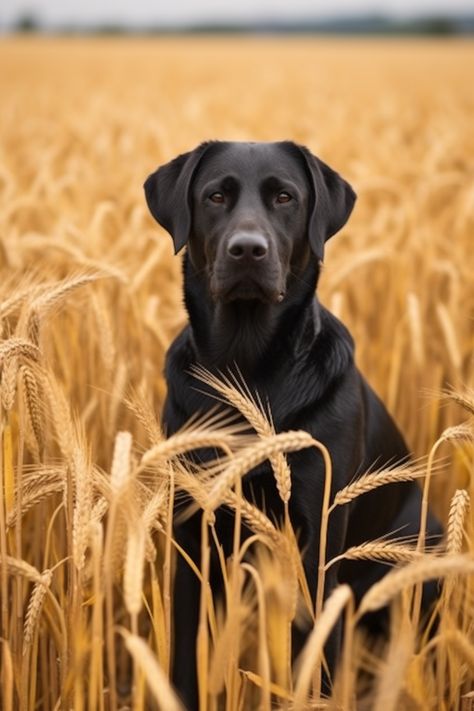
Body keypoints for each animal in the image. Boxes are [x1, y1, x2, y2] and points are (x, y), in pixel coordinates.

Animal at [143, 140, 440, 708]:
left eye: (285, 197)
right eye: (215, 196)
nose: (247, 250)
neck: (250, 369)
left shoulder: (317, 537)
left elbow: (315, 657)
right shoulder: (193, 531)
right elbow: (187, 659)